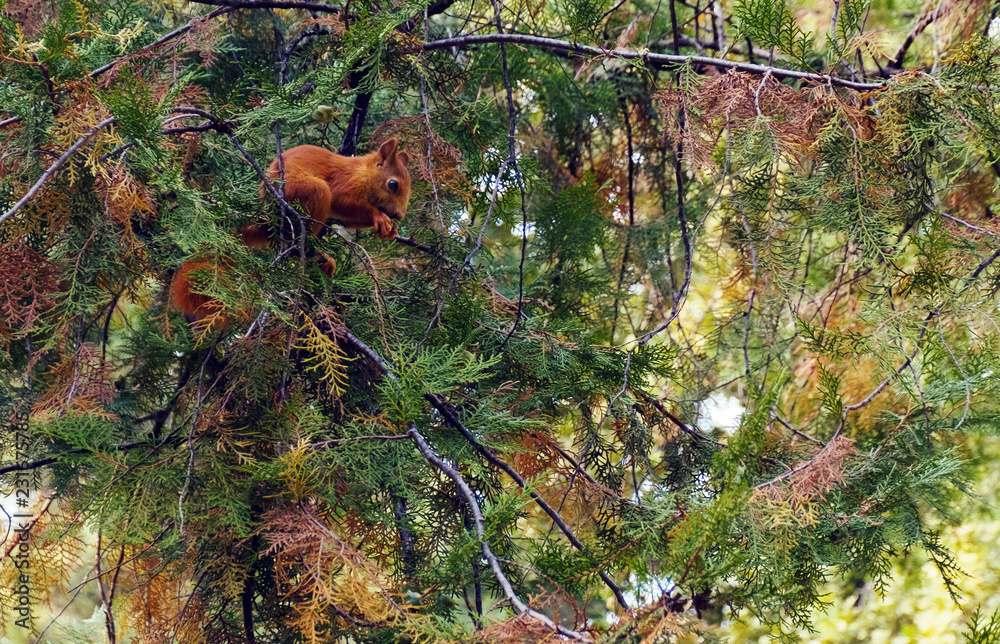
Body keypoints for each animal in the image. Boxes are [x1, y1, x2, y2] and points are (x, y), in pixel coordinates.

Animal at [170, 138, 411, 327]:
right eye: (393, 184)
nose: (400, 215)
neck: (363, 171)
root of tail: (268, 215)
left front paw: (390, 229)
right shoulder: (343, 184)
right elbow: (346, 200)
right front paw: (378, 216)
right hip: (307, 192)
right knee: (298, 235)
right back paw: (316, 255)